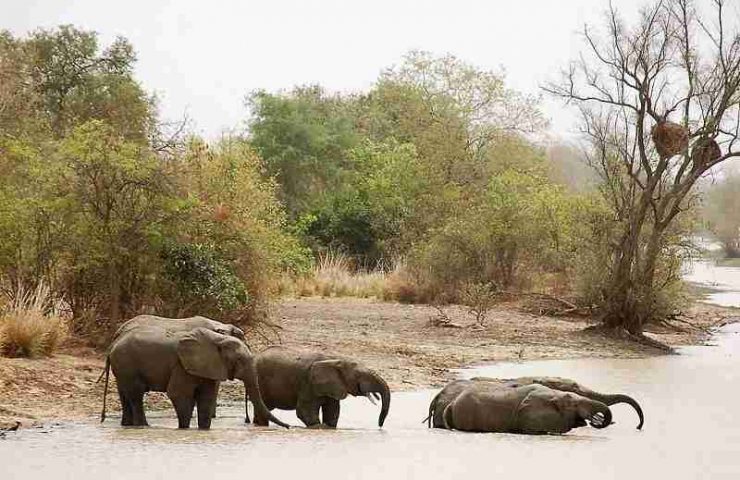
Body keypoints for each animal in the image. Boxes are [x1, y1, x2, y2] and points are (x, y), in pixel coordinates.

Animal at [100, 326, 290, 432]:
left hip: (122, 368)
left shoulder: (210, 366)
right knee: (136, 395)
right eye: (238, 360)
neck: (218, 339)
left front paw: (203, 430)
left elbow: (207, 397)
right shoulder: (181, 364)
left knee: (125, 395)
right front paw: (184, 429)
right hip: (127, 364)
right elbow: (179, 394)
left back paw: (127, 426)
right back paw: (144, 427)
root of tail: (111, 347)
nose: (289, 427)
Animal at [246, 346, 390, 430]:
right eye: (358, 375)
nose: (380, 425)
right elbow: (304, 411)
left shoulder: (333, 387)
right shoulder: (308, 383)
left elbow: (332, 413)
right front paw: (322, 428)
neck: (336, 360)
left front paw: (330, 428)